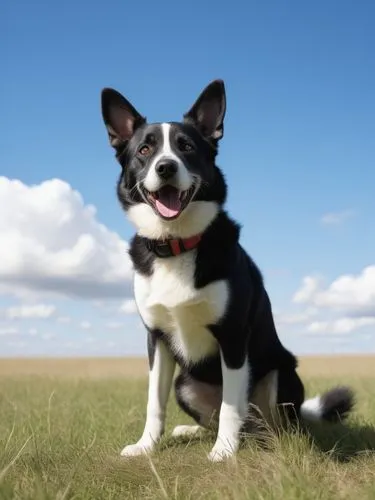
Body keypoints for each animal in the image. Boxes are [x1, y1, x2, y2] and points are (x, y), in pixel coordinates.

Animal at [100, 80, 356, 462]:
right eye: (145, 149)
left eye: (186, 147)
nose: (165, 168)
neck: (179, 243)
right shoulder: (156, 339)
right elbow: (153, 402)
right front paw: (146, 446)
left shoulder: (233, 337)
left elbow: (232, 405)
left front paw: (223, 452)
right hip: (185, 383)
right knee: (221, 417)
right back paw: (192, 430)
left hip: (280, 372)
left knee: (269, 423)